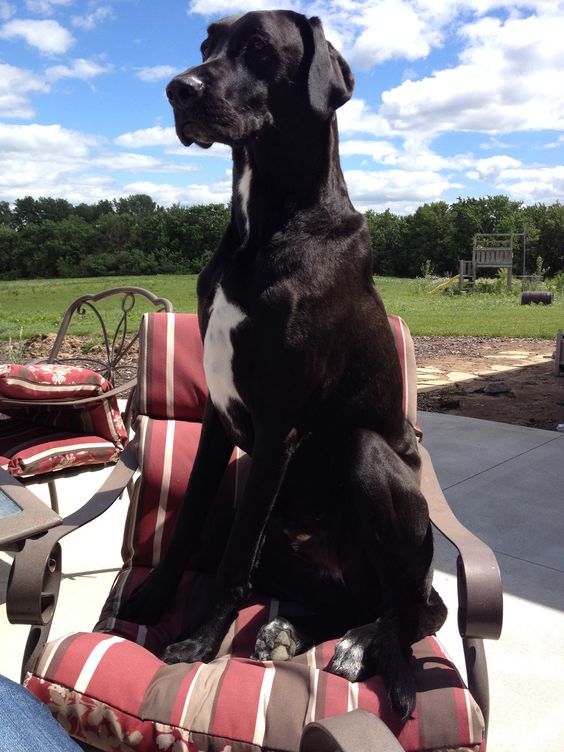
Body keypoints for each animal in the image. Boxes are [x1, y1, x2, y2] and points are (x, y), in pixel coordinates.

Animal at [121, 7, 448, 724]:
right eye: (206, 43)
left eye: (260, 48)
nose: (177, 90)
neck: (263, 228)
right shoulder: (219, 419)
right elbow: (190, 522)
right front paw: (154, 597)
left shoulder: (277, 426)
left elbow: (233, 556)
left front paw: (198, 640)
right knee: (353, 597)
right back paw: (293, 629)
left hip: (367, 462)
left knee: (412, 606)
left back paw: (359, 645)